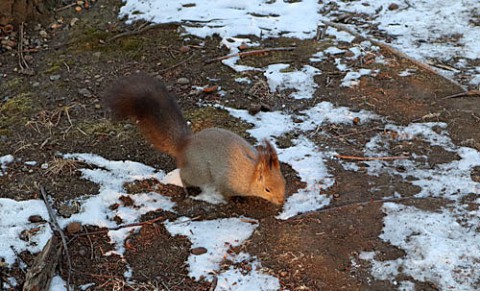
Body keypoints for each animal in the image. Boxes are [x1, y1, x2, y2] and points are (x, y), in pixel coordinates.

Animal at [105, 75, 284, 208]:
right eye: (267, 189)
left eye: (283, 182)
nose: (281, 201)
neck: (251, 172)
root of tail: (185, 143)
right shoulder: (227, 181)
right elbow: (226, 192)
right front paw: (237, 200)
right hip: (200, 171)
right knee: (184, 175)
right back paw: (191, 189)